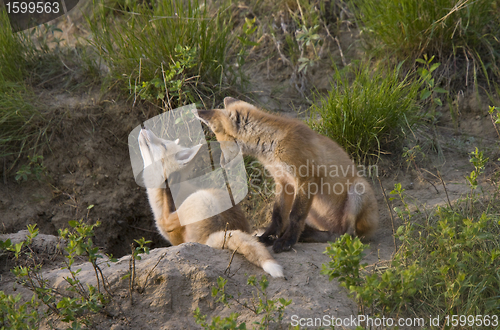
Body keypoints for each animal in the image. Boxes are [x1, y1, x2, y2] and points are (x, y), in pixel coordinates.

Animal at [193, 97, 376, 253]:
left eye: (219, 138)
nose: (221, 164)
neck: (272, 144)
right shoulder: (284, 182)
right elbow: (278, 215)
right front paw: (267, 237)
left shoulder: (306, 178)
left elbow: (295, 216)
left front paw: (287, 241)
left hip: (358, 191)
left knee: (348, 235)